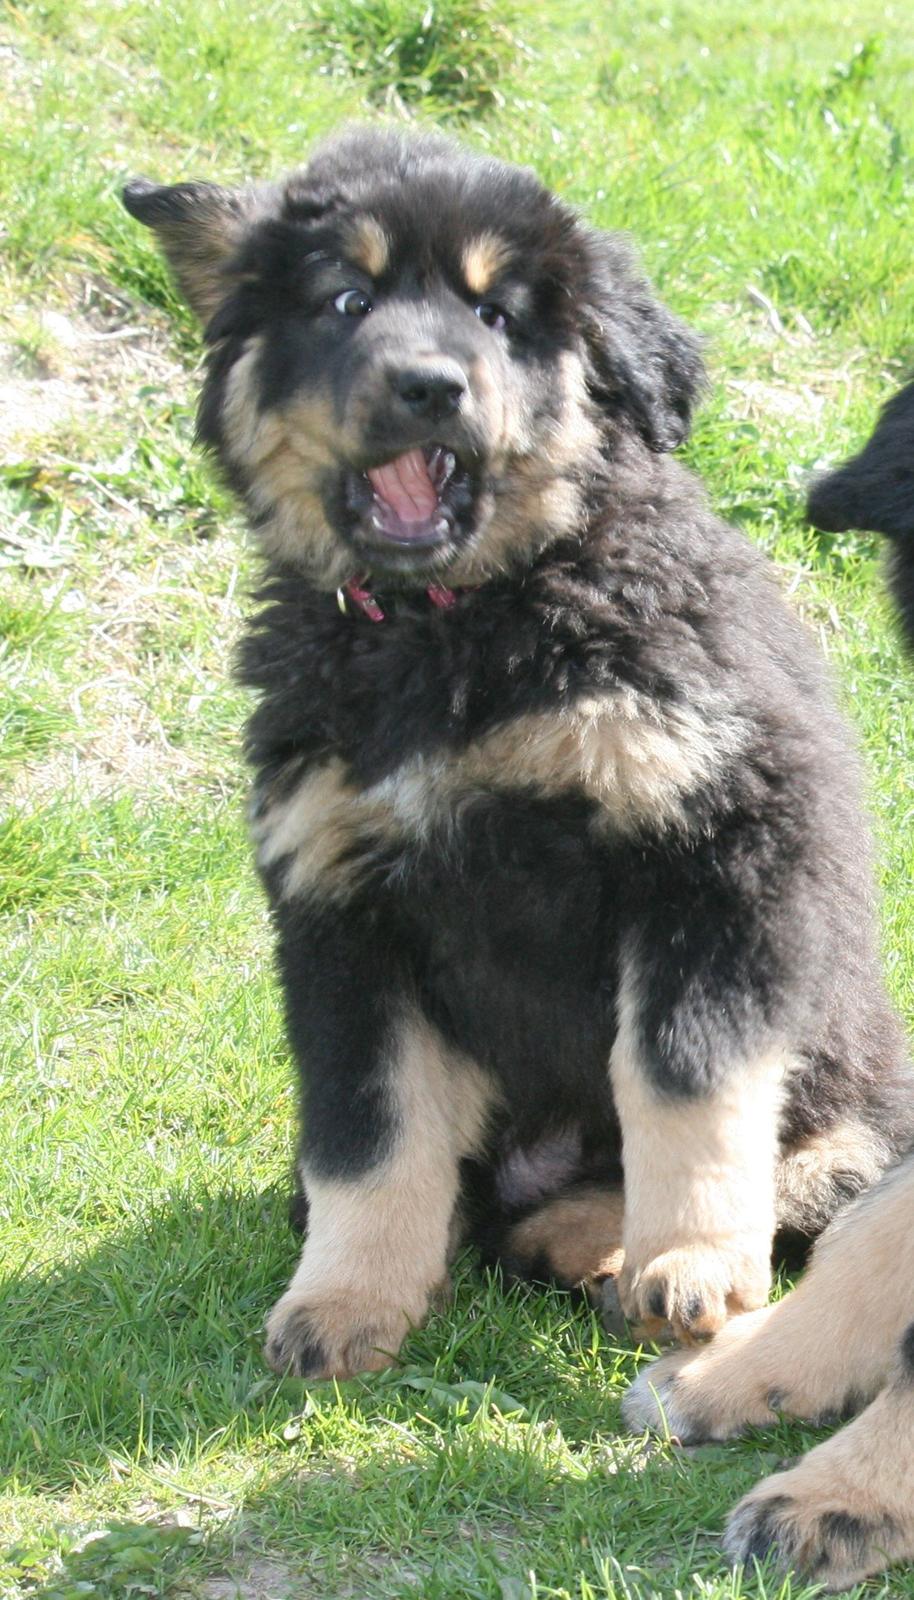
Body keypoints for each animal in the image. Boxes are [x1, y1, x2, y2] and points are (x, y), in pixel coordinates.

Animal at [121, 124, 914, 1382]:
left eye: (497, 315)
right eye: (344, 299)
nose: (428, 386)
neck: (454, 621)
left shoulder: (711, 839)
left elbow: (681, 1077)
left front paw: (690, 1263)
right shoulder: (340, 905)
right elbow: (365, 1131)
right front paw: (344, 1300)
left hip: (855, 1101)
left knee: (806, 1175)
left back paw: (636, 1259)